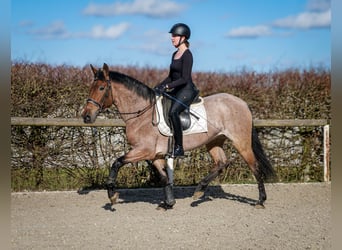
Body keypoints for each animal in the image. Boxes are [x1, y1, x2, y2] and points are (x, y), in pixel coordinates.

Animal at [81, 62, 276, 209]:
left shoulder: (143, 150)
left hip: (241, 142)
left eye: (101, 88)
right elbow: (164, 177)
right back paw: (199, 190)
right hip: (214, 141)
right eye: (90, 88)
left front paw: (112, 195)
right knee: (221, 162)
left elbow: (117, 162)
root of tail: (242, 102)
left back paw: (260, 201)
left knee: (254, 167)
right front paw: (168, 203)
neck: (142, 114)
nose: (86, 116)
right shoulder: (154, 154)